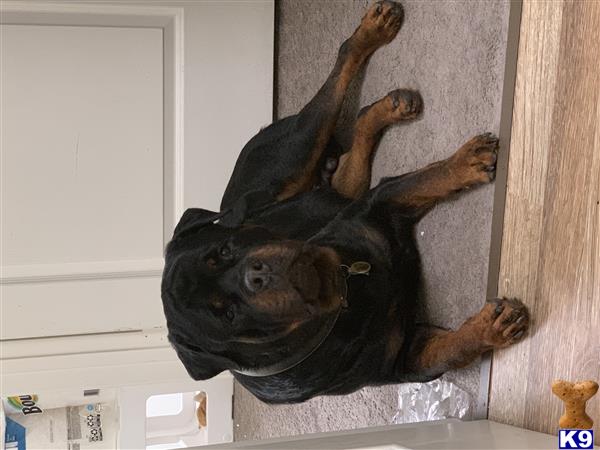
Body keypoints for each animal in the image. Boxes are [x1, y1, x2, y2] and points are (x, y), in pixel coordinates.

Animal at [161, 0, 528, 404]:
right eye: (227, 315)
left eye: (224, 250)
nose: (256, 275)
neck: (345, 286)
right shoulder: (403, 360)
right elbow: (452, 350)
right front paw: (493, 327)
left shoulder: (376, 205)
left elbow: (428, 178)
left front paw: (465, 163)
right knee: (350, 155)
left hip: (295, 157)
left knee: (341, 81)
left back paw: (380, 59)